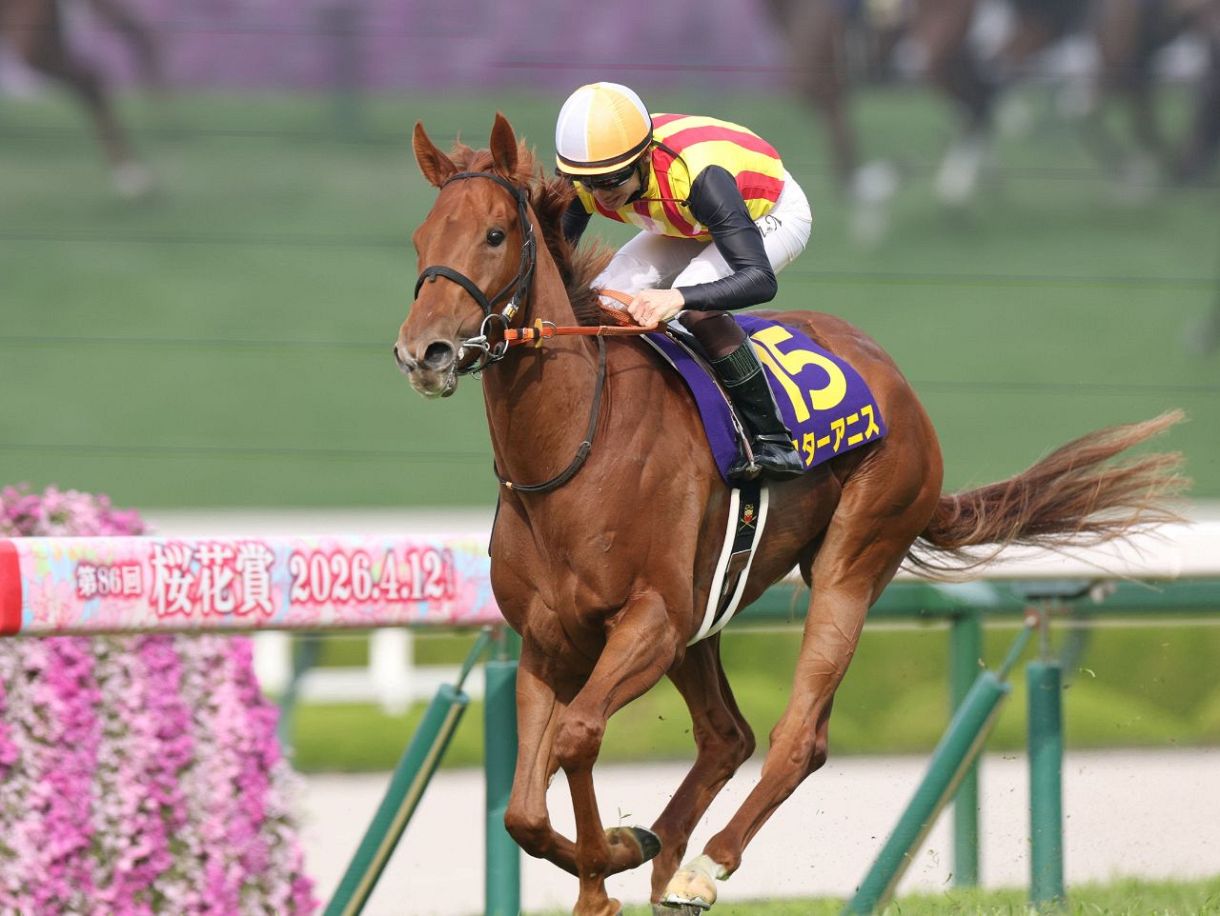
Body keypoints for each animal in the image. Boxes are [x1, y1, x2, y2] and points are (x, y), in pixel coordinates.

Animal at [393, 113, 1185, 915]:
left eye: (495, 235)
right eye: (420, 238)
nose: (424, 352)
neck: (572, 454)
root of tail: (895, 381)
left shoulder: (651, 621)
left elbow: (577, 738)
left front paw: (607, 865)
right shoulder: (549, 642)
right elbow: (525, 805)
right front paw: (611, 859)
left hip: (850, 561)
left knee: (798, 736)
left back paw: (702, 865)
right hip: (707, 613)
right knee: (726, 736)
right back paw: (663, 852)